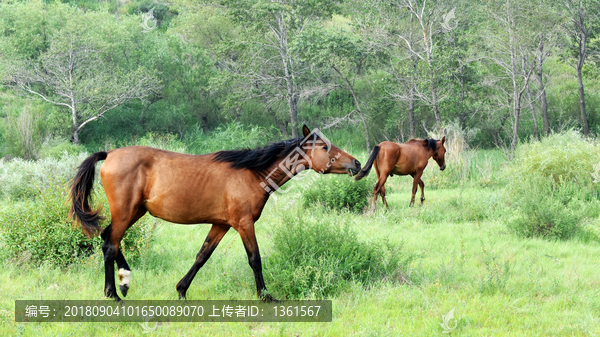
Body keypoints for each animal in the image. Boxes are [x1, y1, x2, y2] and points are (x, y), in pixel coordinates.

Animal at [70, 124, 360, 300]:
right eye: (324, 147)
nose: (356, 163)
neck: (252, 174)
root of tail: (109, 154)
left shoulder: (221, 224)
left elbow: (202, 256)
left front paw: (181, 290)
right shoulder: (244, 223)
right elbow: (255, 259)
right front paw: (265, 295)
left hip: (134, 212)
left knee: (109, 239)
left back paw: (124, 281)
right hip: (126, 211)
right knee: (110, 244)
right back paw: (113, 293)